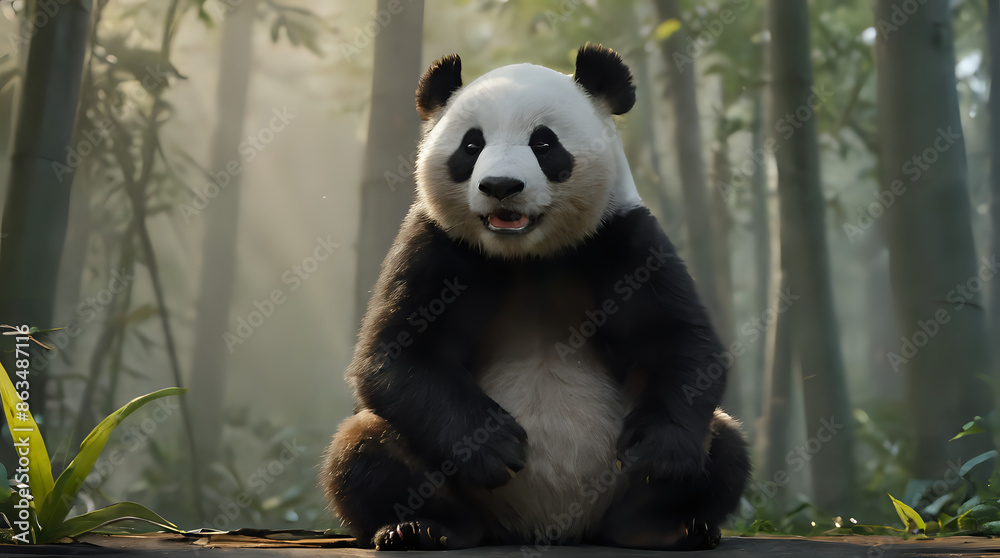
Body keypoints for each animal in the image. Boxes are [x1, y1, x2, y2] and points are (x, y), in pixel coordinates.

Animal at [322, 44, 750, 551]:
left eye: (544, 144)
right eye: (471, 146)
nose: (501, 186)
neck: (529, 255)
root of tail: (548, 527)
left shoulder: (624, 237)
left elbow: (677, 340)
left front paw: (657, 455)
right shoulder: (435, 244)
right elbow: (397, 351)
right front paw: (494, 446)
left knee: (724, 441)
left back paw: (666, 526)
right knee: (364, 447)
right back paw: (422, 528)